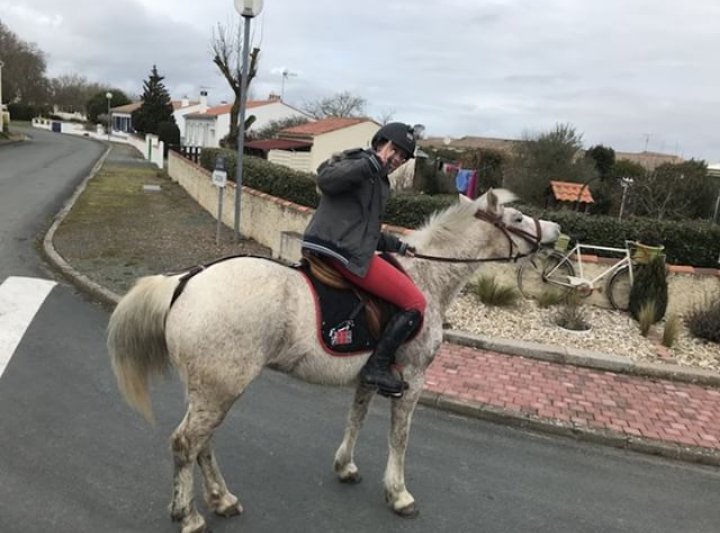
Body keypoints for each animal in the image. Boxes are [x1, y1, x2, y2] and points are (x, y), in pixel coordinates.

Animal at [107, 189, 560, 528]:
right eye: (518, 218)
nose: (557, 232)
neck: (426, 277)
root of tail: (186, 281)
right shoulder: (412, 379)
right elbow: (400, 438)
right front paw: (399, 494)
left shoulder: (369, 377)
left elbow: (355, 419)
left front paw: (345, 467)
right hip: (220, 388)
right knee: (186, 443)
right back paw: (189, 516)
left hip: (209, 388)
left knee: (203, 443)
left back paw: (222, 500)